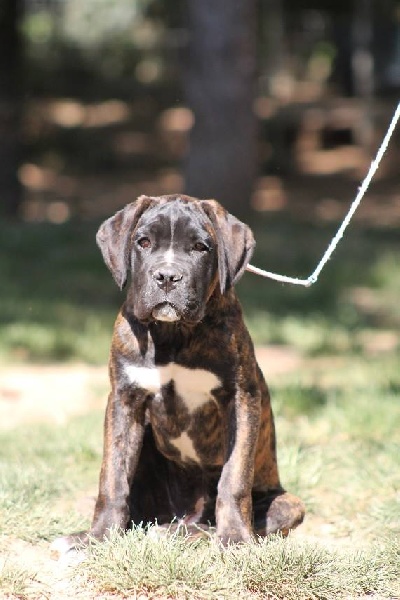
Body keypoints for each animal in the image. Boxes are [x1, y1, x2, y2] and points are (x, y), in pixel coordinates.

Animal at [52, 192, 304, 552]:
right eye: (143, 242)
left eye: (201, 247)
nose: (168, 276)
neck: (172, 335)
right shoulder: (124, 400)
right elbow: (112, 477)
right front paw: (98, 537)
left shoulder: (241, 399)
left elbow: (234, 478)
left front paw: (236, 539)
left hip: (286, 502)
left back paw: (190, 532)